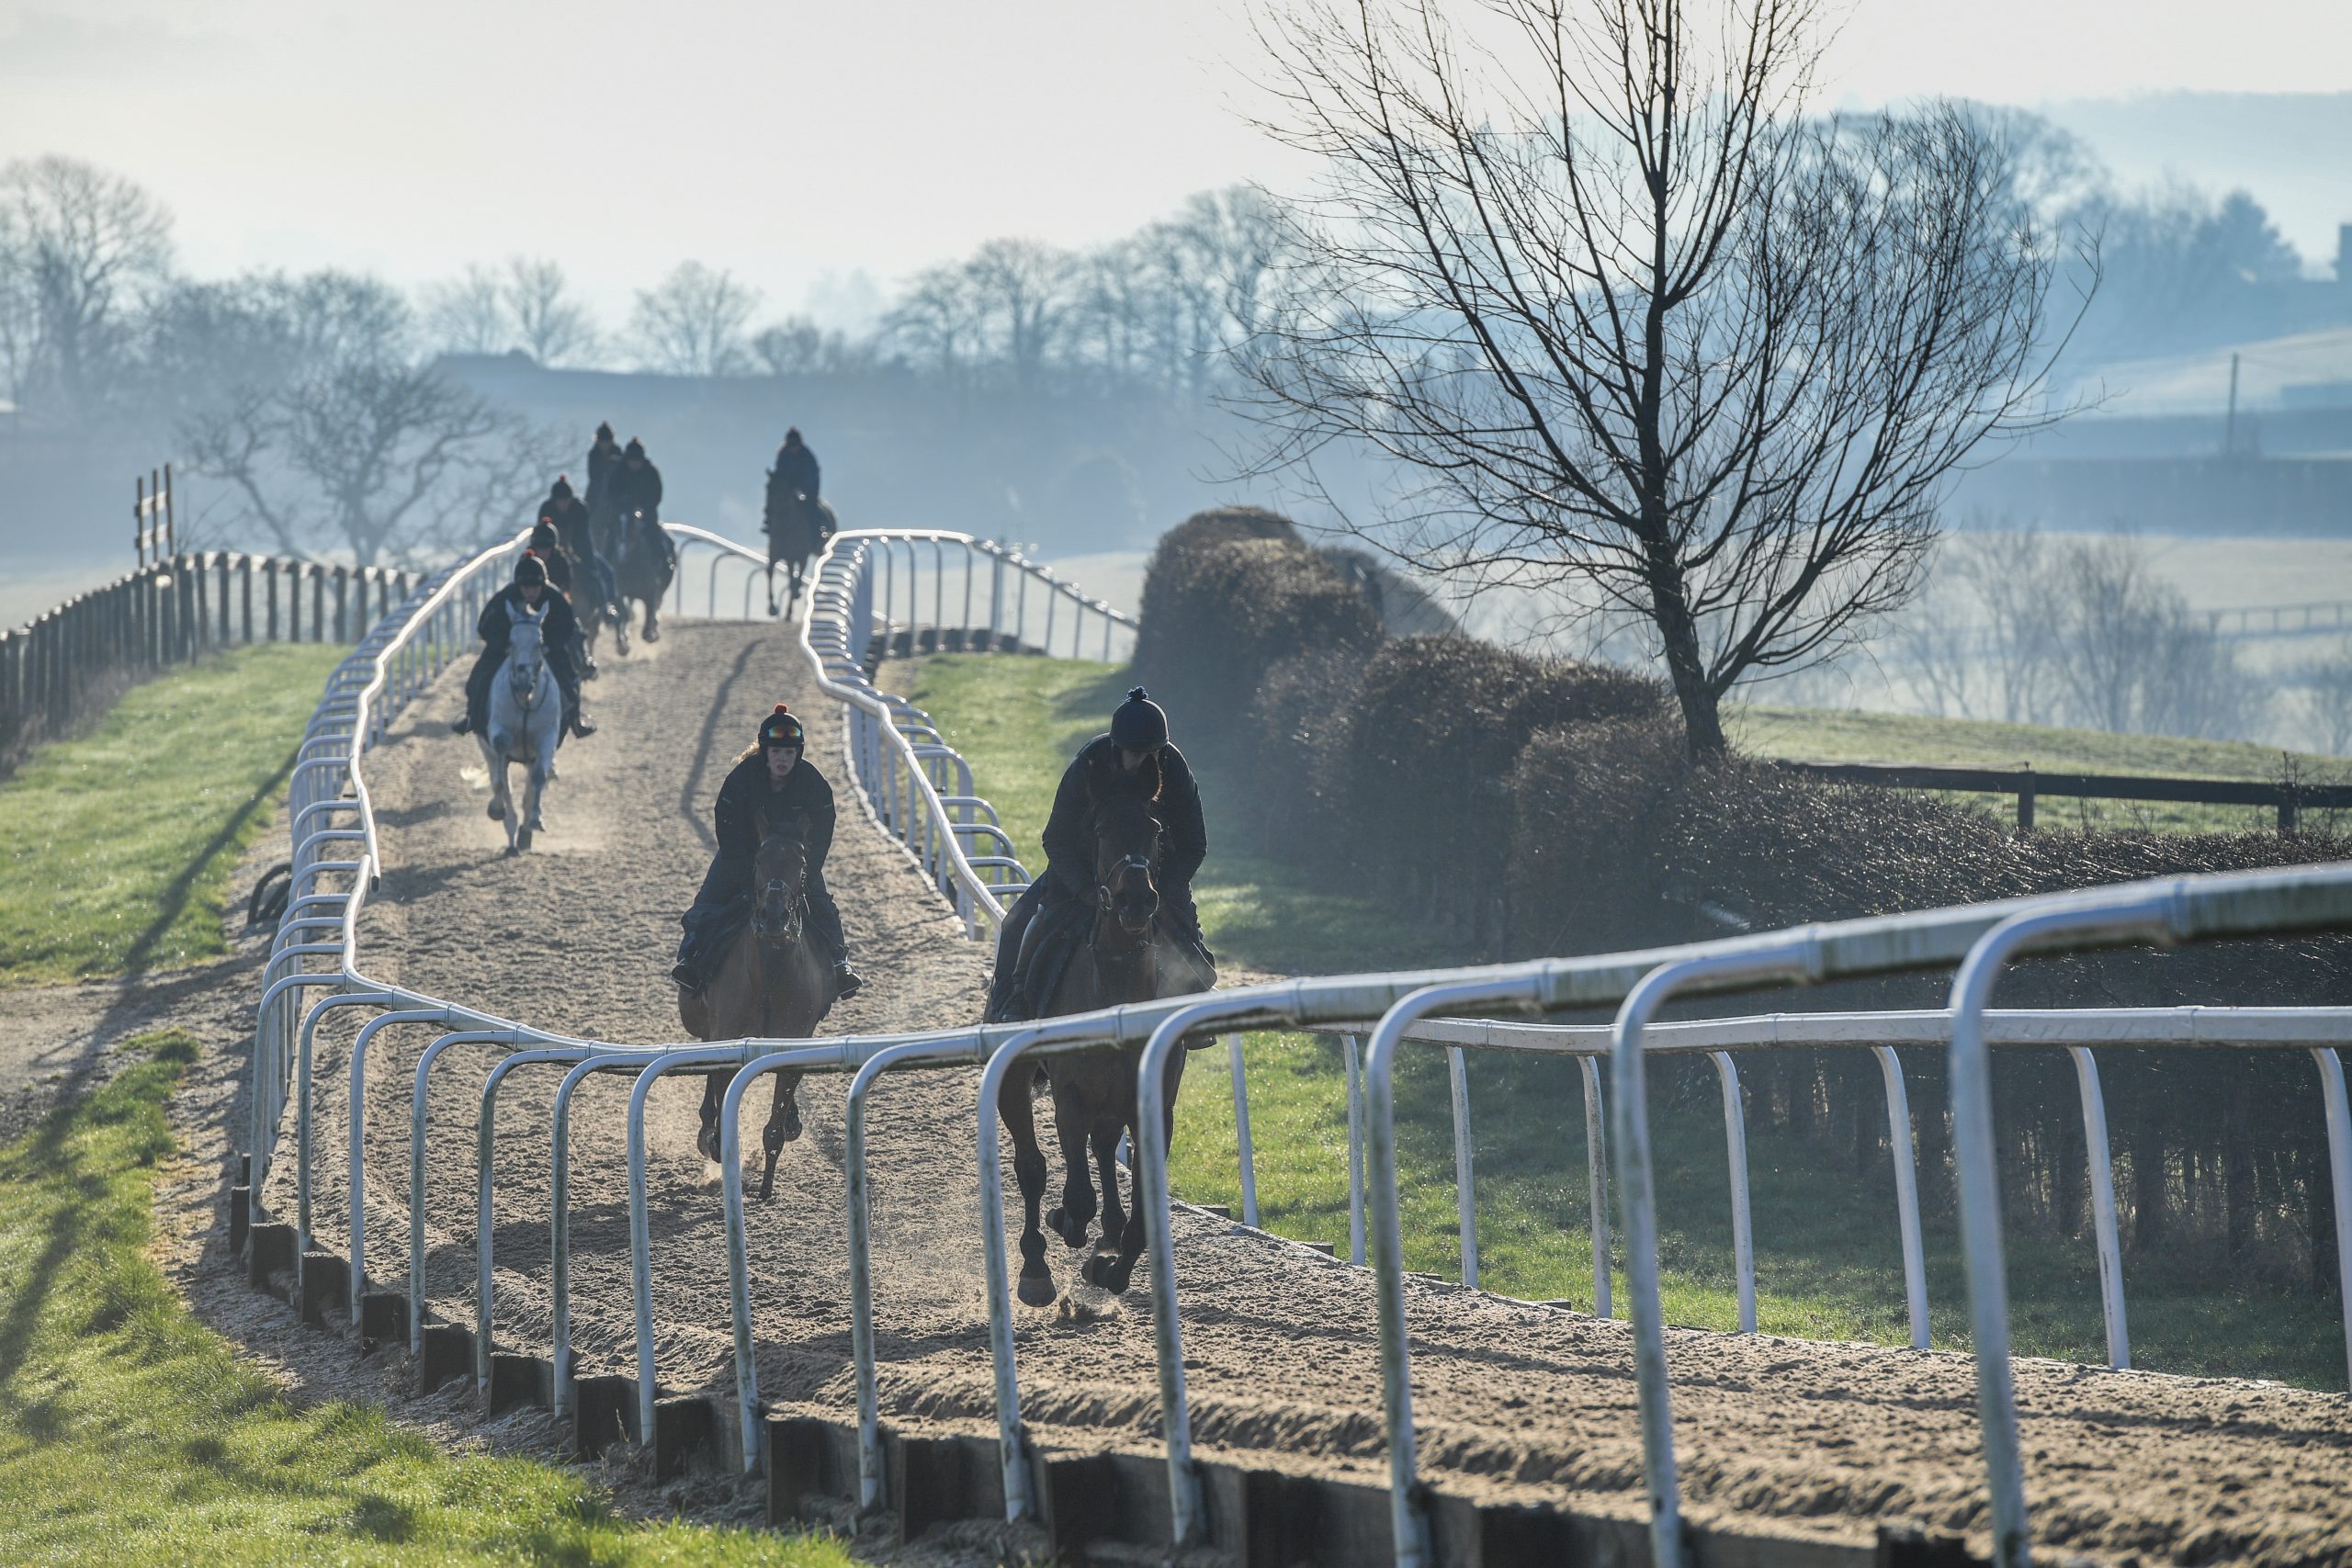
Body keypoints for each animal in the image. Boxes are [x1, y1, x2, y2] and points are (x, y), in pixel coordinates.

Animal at [477, 602, 564, 851]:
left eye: (539, 642)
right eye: (511, 641)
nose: (522, 682)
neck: (526, 701)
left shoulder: (547, 737)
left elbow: (539, 778)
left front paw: (535, 819)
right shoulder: (497, 733)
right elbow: (500, 778)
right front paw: (500, 813)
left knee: (528, 787)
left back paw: (524, 833)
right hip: (487, 748)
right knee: (499, 779)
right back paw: (508, 827)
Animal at [686, 822, 832, 1203]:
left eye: (801, 866)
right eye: (757, 862)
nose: (773, 917)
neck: (768, 979)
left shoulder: (794, 1038)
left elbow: (775, 1128)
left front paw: (766, 1189)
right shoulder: (727, 1034)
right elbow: (722, 1107)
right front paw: (716, 1144)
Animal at [992, 780, 1213, 1306]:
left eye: (1156, 830)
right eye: (1099, 829)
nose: (1135, 900)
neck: (1115, 990)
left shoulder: (1153, 1102)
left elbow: (1142, 1207)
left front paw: (1112, 1268)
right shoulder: (1071, 1094)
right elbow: (1075, 1195)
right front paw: (1066, 1225)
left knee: (1103, 1149)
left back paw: (1108, 1233)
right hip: (1015, 1078)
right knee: (1032, 1166)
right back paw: (1037, 1265)